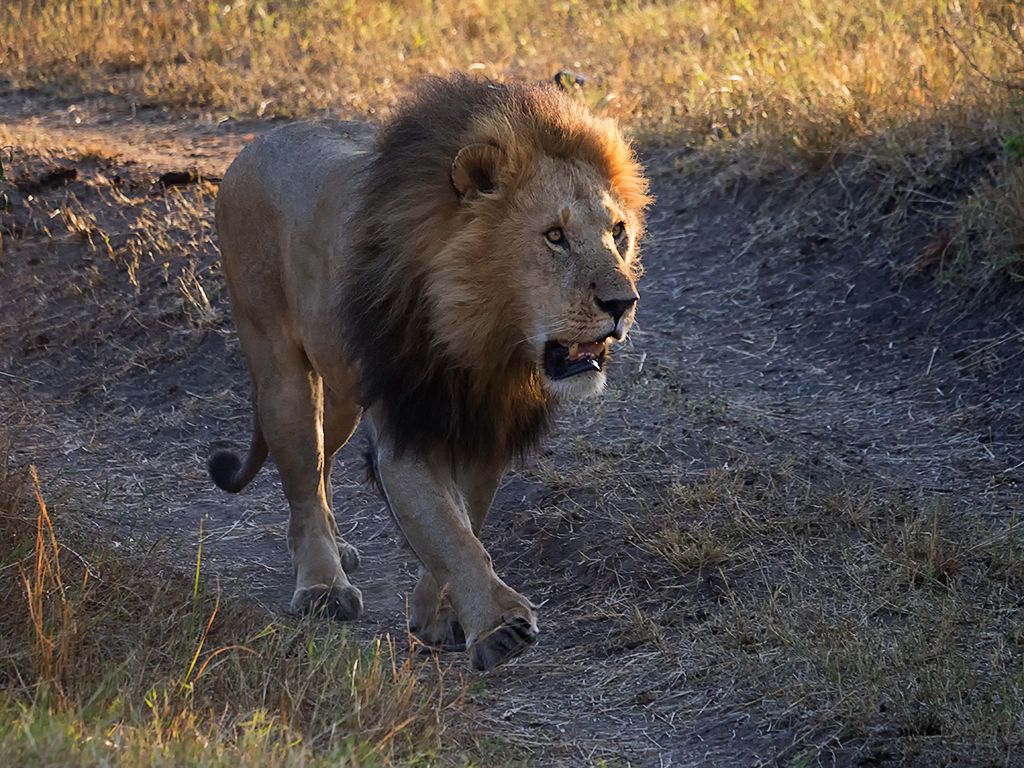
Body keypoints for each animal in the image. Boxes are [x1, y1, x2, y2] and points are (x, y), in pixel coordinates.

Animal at [209, 74, 650, 670]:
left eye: (618, 231)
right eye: (555, 236)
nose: (623, 303)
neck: (485, 338)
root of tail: (253, 146)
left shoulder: (486, 427)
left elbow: (465, 520)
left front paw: (436, 614)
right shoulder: (408, 422)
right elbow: (449, 532)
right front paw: (499, 627)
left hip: (344, 396)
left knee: (324, 463)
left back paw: (339, 549)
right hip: (279, 370)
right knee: (302, 477)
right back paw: (323, 583)